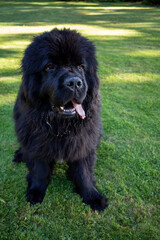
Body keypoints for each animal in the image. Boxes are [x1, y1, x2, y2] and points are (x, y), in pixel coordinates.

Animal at [12, 28, 107, 210]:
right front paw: (35, 192)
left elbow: (84, 171)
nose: (74, 82)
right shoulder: (36, 142)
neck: (61, 126)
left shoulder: (83, 142)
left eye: (80, 67)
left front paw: (92, 196)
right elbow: (39, 170)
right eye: (50, 66)